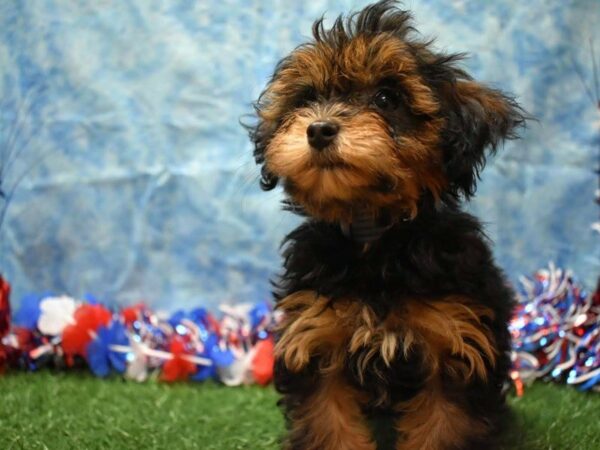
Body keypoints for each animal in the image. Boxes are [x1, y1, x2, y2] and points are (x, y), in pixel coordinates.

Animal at [246, 1, 524, 448]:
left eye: (386, 98)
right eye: (307, 98)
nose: (319, 129)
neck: (374, 235)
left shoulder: (454, 340)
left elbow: (443, 426)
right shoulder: (315, 334)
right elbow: (330, 422)